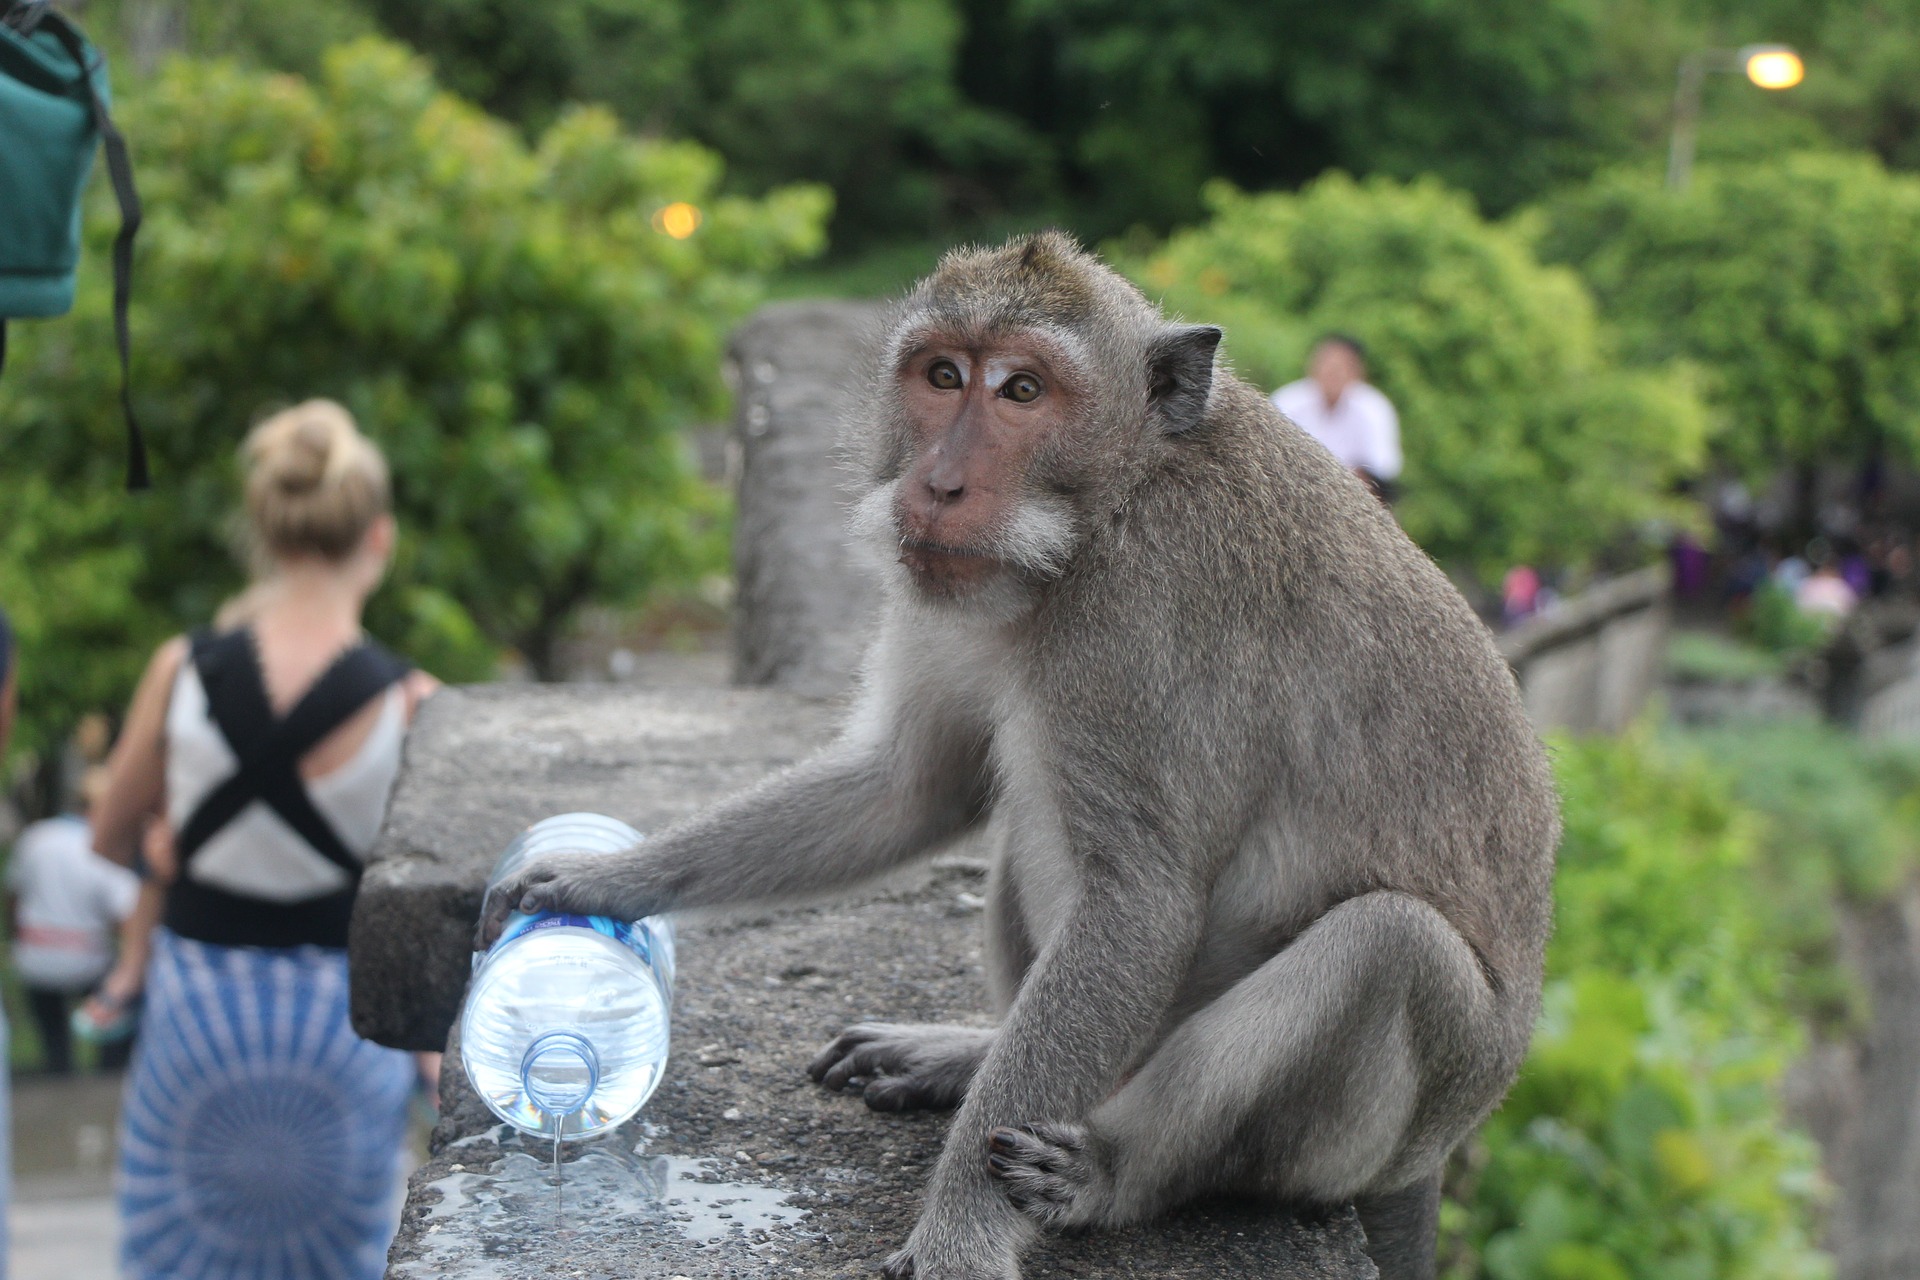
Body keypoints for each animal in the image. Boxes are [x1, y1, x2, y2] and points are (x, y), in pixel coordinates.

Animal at [479, 231, 1559, 1280]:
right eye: (943, 374)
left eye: (1024, 391)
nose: (938, 483)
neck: (1106, 511)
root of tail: (1434, 1157)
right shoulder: (947, 584)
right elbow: (913, 783)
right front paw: (601, 878)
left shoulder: (1144, 617)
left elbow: (1139, 904)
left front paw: (962, 1230)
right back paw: (968, 1056)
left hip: (1366, 1136)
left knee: (1391, 944)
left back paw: (1113, 1172)